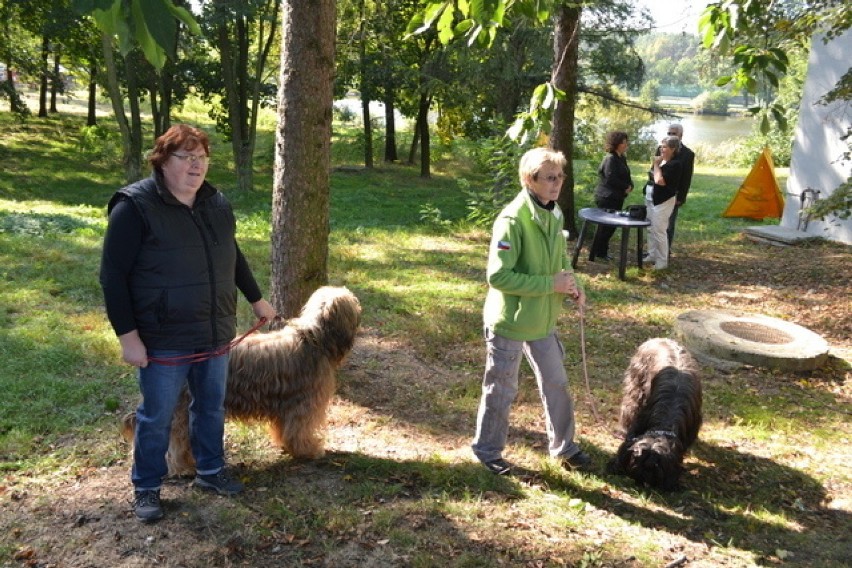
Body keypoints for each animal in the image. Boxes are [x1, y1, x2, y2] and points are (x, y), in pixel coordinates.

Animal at [122, 286, 360, 478]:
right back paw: (182, 468)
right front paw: (309, 450)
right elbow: (299, 430)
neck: (313, 338)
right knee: (176, 440)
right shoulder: (303, 403)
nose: (360, 310)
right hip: (181, 409)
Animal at [608, 340, 704, 490]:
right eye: (637, 459)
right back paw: (621, 431)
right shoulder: (641, 418)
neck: (666, 420)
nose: (644, 477)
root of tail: (660, 339)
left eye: (658, 465)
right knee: (630, 404)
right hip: (636, 384)